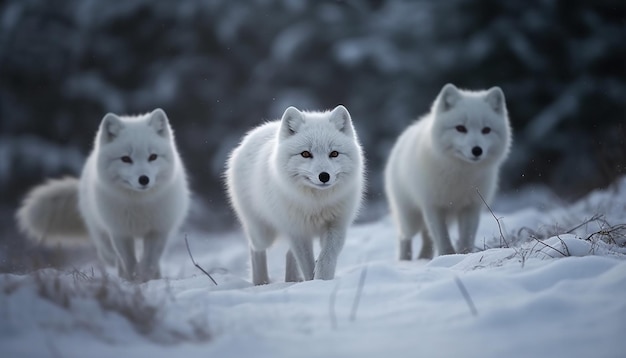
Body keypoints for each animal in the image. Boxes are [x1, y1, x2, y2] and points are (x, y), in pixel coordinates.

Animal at [16, 109, 188, 282]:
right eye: (126, 159)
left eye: (153, 157)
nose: (144, 179)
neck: (139, 204)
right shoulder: (120, 232)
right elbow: (129, 261)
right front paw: (133, 280)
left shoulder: (158, 231)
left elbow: (149, 261)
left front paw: (146, 278)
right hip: (102, 235)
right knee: (111, 256)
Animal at [224, 104, 364, 286]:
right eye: (305, 154)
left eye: (334, 154)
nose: (324, 176)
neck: (317, 203)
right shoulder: (297, 230)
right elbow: (307, 263)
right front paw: (313, 283)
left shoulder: (336, 225)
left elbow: (326, 259)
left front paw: (321, 281)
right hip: (263, 234)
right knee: (256, 249)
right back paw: (261, 282)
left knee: (289, 254)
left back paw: (291, 280)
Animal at [386, 84, 512, 260]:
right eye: (460, 128)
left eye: (486, 130)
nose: (477, 150)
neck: (460, 174)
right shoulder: (433, 206)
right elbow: (442, 238)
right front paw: (447, 256)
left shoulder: (471, 207)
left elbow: (467, 237)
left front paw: (463, 255)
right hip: (410, 219)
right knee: (404, 236)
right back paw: (405, 260)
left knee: (426, 237)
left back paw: (424, 258)